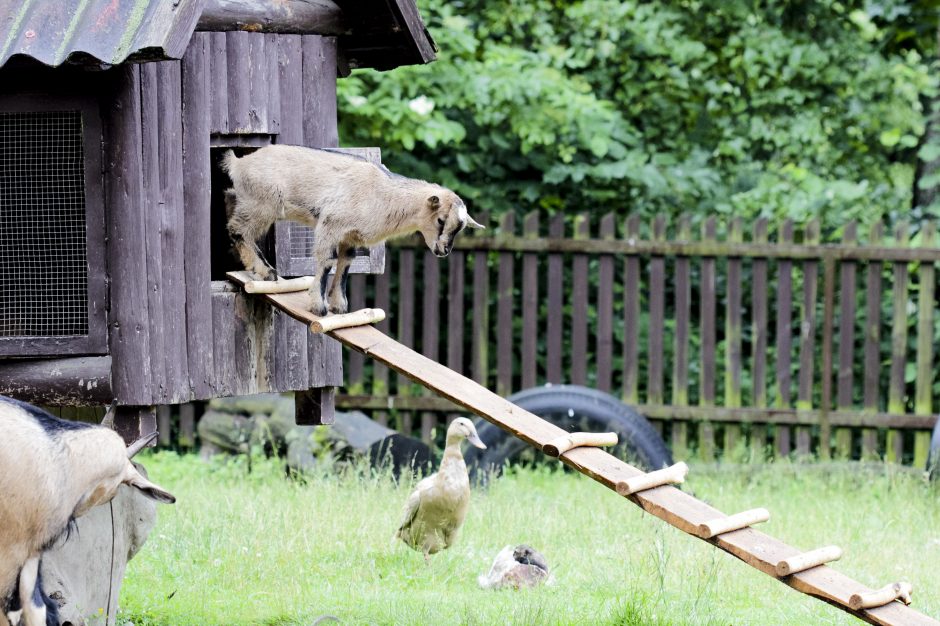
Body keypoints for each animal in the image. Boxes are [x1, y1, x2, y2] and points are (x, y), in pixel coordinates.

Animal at [223, 144, 482, 314]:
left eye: (460, 228)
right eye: (441, 220)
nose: (444, 250)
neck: (382, 194)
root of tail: (238, 163)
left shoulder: (350, 236)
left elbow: (346, 263)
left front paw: (339, 306)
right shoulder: (330, 224)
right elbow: (327, 260)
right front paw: (319, 307)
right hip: (262, 203)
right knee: (238, 229)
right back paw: (265, 271)